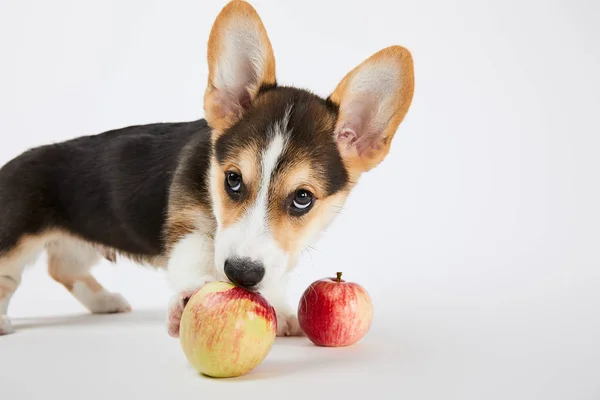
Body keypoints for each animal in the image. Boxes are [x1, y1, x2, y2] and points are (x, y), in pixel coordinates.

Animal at [0, 0, 412, 338]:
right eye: (232, 180)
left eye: (302, 198)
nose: (242, 276)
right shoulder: (188, 228)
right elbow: (196, 255)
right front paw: (191, 297)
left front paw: (279, 308)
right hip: (17, 238)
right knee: (10, 274)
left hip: (84, 237)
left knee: (61, 268)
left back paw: (105, 302)